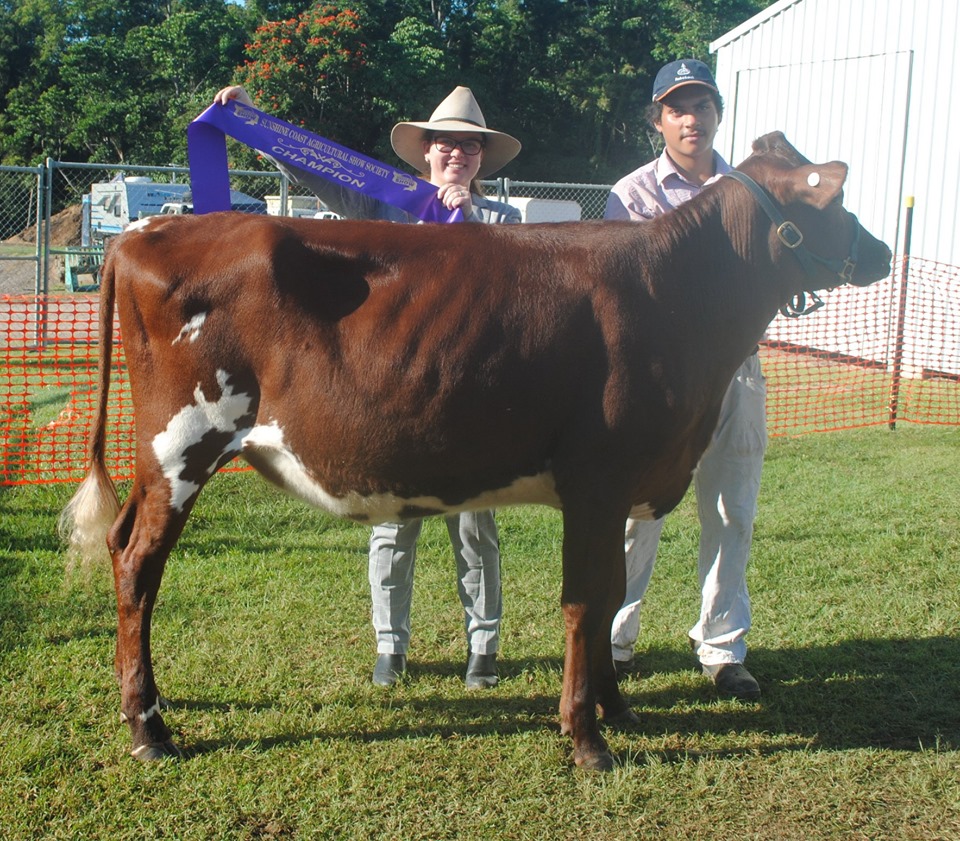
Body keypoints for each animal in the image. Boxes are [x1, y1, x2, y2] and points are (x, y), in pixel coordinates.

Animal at [63, 135, 892, 772]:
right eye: (835, 203)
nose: (882, 248)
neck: (678, 299)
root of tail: (144, 234)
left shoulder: (620, 483)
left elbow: (610, 593)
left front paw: (616, 707)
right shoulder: (598, 479)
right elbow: (584, 601)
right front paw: (586, 737)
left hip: (159, 460)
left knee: (118, 543)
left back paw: (148, 701)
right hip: (185, 442)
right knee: (139, 565)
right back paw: (151, 729)